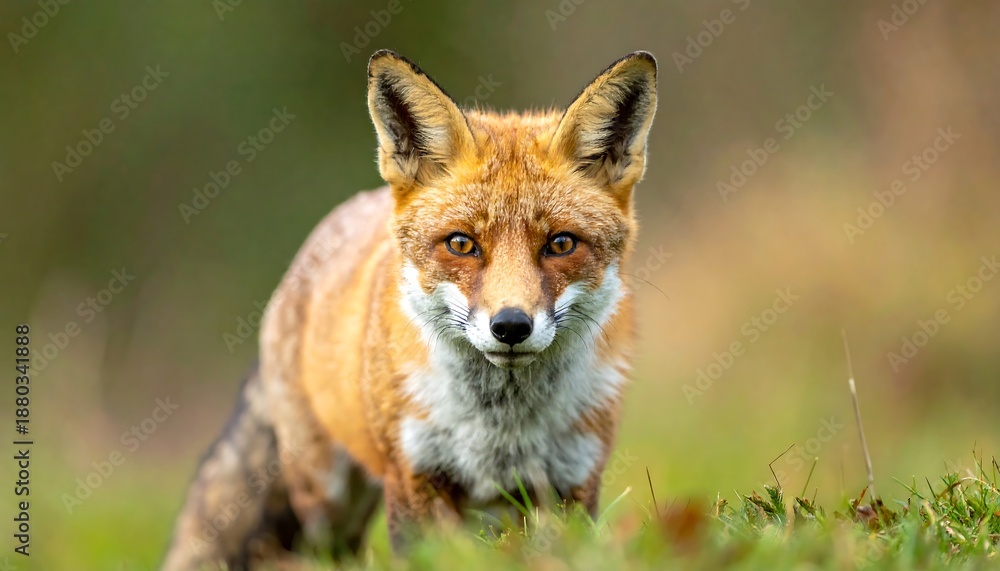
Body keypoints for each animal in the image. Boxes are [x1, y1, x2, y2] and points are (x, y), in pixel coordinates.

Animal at [163, 49, 657, 570]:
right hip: (328, 496)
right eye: (461, 244)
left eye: (561, 244)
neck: (500, 427)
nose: (510, 326)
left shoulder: (572, 480)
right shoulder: (413, 475)